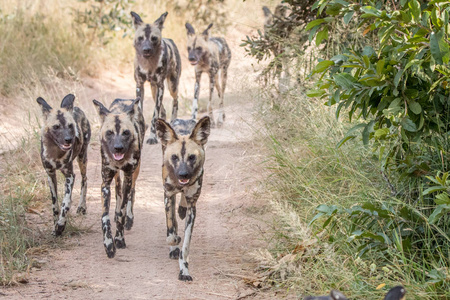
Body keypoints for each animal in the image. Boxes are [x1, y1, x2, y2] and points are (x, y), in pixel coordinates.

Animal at [37, 94, 91, 237]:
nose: (69, 140)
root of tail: (76, 108)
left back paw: (82, 206)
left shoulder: (69, 175)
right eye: (56, 127)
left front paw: (61, 225)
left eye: (70, 126)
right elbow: (55, 204)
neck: (55, 152)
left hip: (82, 157)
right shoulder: (51, 174)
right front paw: (55, 226)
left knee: (84, 179)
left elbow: (65, 203)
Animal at [92, 96, 145, 258]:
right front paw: (108, 244)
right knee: (118, 190)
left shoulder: (128, 176)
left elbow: (122, 212)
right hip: (115, 176)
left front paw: (119, 239)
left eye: (126, 133)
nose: (118, 148)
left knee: (131, 192)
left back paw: (129, 218)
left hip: (134, 172)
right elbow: (105, 216)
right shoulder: (105, 183)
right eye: (109, 133)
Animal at [130, 12, 181, 146]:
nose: (146, 49)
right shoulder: (139, 86)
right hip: (154, 91)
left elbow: (154, 115)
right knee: (163, 110)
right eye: (141, 38)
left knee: (175, 101)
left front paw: (152, 136)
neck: (148, 64)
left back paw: (173, 122)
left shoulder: (160, 86)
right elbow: (142, 111)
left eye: (154, 38)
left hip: (172, 86)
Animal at [155, 116, 211, 280]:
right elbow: (171, 232)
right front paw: (174, 242)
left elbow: (185, 245)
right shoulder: (168, 196)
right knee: (173, 221)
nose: (183, 174)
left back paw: (181, 208)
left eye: (191, 157)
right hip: (170, 198)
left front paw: (184, 270)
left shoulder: (193, 208)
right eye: (174, 157)